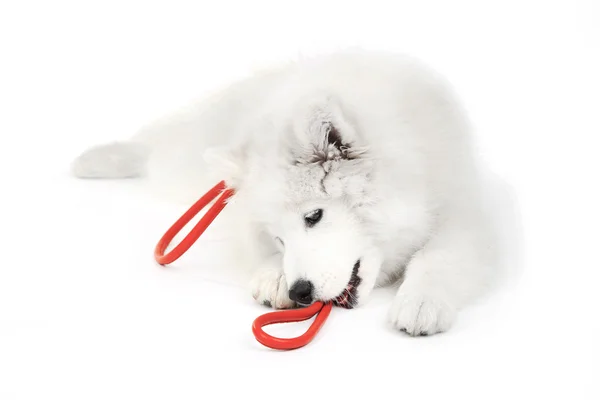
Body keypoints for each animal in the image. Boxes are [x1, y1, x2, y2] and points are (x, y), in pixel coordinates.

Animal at [72, 50, 496, 338]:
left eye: (314, 216)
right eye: (278, 238)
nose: (301, 292)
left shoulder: (467, 207)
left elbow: (442, 255)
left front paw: (421, 302)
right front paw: (274, 276)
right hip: (188, 156)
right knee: (152, 148)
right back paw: (95, 160)